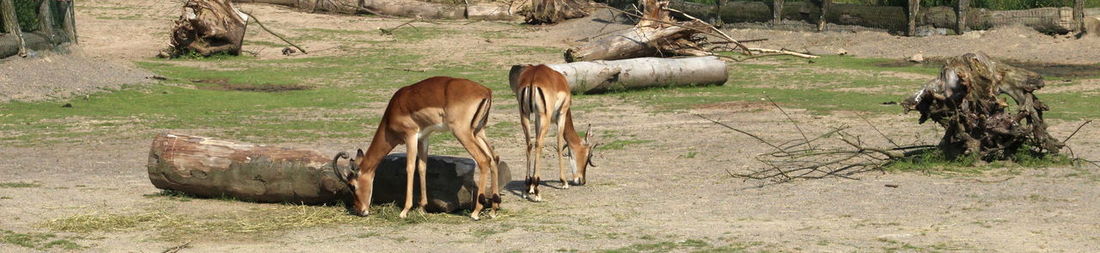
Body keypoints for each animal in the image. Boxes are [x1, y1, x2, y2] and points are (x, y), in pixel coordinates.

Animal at [330, 75, 503, 220]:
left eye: (352, 186)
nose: (361, 210)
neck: (393, 112)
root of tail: (486, 91)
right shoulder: (423, 138)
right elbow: (422, 167)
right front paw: (422, 207)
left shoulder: (410, 136)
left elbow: (410, 167)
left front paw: (405, 210)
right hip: (478, 131)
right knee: (494, 157)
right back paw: (494, 210)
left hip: (463, 133)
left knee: (483, 160)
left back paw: (476, 212)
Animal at [512, 64, 598, 201]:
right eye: (587, 156)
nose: (582, 180)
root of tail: (533, 78)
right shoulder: (561, 115)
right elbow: (559, 143)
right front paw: (564, 182)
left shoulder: (537, 118)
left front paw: (531, 188)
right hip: (545, 118)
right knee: (538, 144)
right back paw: (538, 192)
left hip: (525, 115)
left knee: (530, 144)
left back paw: (527, 188)